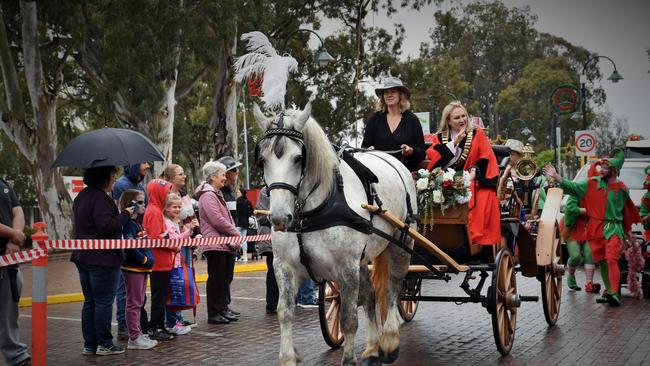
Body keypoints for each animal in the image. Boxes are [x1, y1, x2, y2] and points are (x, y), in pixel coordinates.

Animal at [253, 101, 416, 366]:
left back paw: (390, 341)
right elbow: (284, 313)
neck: (309, 215)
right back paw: (373, 349)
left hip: (400, 244)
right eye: (262, 160)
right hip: (362, 259)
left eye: (298, 158)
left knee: (393, 289)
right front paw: (288, 357)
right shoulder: (284, 267)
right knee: (370, 297)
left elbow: (348, 318)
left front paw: (349, 359)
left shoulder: (346, 268)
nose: (278, 218)